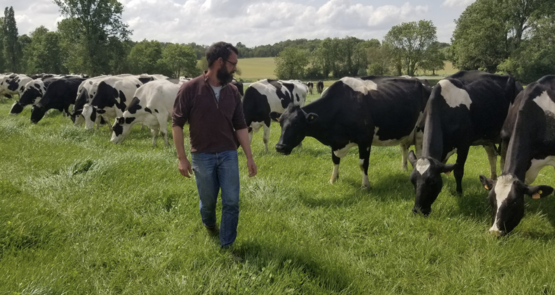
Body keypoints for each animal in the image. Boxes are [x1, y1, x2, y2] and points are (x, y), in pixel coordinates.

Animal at [272, 75, 432, 187]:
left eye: (297, 124)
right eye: (281, 123)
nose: (279, 147)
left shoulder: (365, 140)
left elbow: (363, 163)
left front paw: (365, 185)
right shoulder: (335, 142)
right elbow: (335, 160)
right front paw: (333, 179)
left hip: (420, 131)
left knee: (419, 152)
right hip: (406, 132)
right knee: (404, 149)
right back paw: (403, 168)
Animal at [406, 70, 524, 216]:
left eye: (432, 181)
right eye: (412, 180)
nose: (418, 210)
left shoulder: (464, 144)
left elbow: (458, 170)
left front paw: (459, 192)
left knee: (503, 159)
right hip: (487, 137)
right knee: (492, 156)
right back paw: (492, 180)